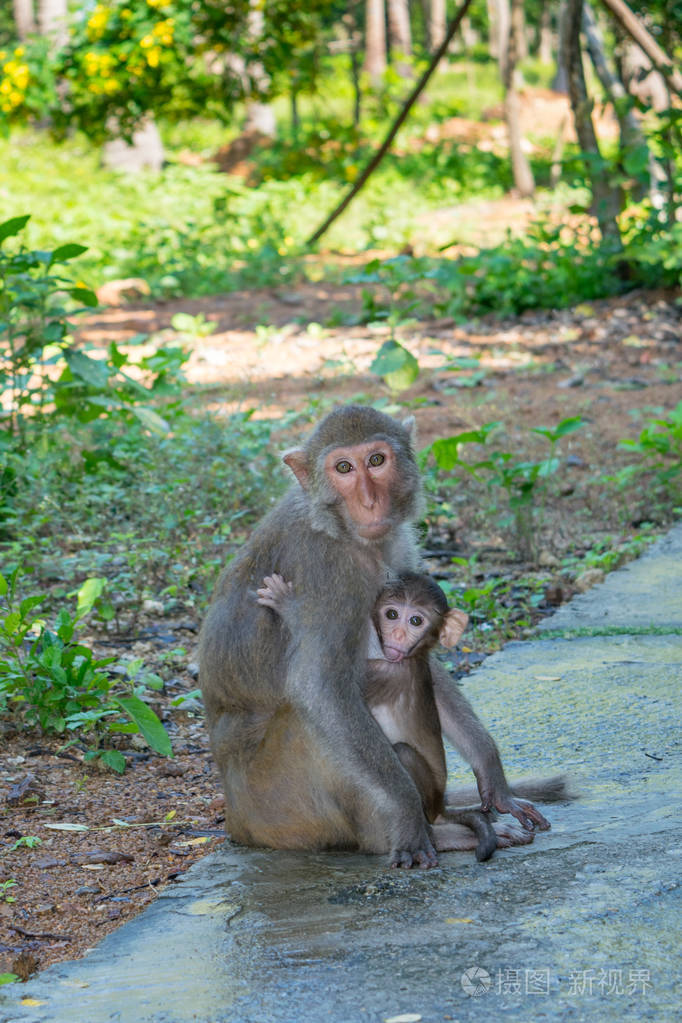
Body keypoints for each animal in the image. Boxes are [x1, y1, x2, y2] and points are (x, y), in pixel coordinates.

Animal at [255, 572, 507, 859]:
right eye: (392, 614)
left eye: (416, 620)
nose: (397, 634)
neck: (412, 656)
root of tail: (439, 805)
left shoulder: (385, 671)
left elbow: (328, 687)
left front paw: (289, 607)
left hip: (427, 795)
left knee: (400, 753)